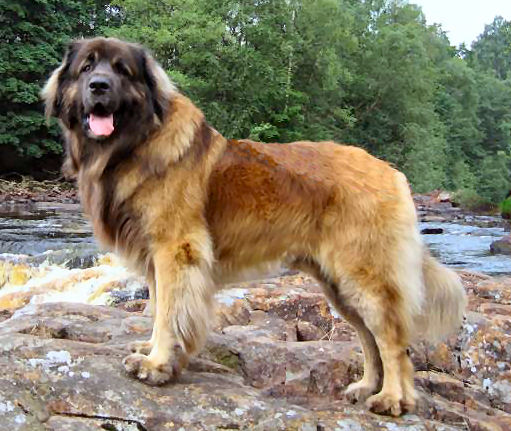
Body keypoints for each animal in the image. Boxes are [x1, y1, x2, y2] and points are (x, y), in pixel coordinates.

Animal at [42, 37, 466, 416]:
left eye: (122, 71)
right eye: (87, 67)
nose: (99, 86)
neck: (131, 146)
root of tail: (391, 172)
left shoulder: (174, 251)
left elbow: (168, 314)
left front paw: (157, 364)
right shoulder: (155, 260)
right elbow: (159, 307)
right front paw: (151, 352)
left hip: (364, 275)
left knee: (392, 340)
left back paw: (393, 399)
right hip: (338, 285)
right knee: (369, 338)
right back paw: (365, 387)